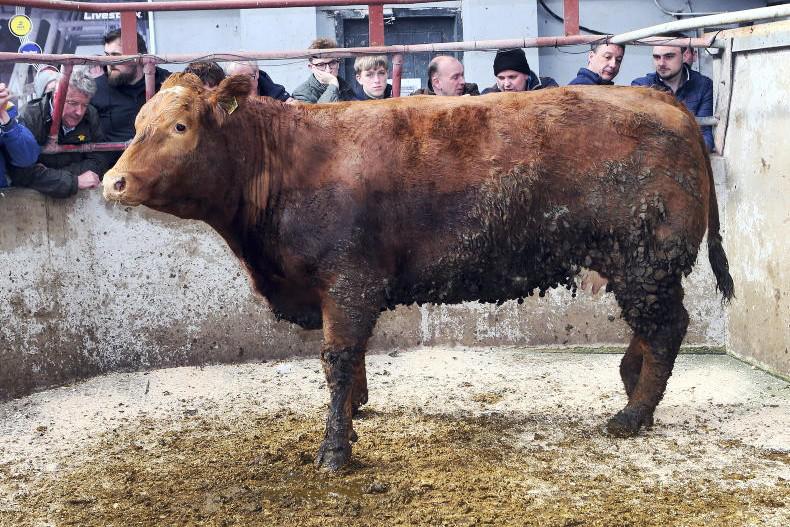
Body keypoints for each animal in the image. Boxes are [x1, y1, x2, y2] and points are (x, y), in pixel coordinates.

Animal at [103, 73, 734, 470]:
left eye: (181, 127)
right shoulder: (340, 290)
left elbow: (337, 361)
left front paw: (336, 450)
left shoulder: (350, 282)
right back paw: (631, 382)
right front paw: (355, 413)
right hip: (636, 264)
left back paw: (633, 413)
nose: (113, 181)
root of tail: (662, 100)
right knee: (652, 326)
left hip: (645, 259)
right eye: (137, 123)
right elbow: (349, 360)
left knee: (666, 327)